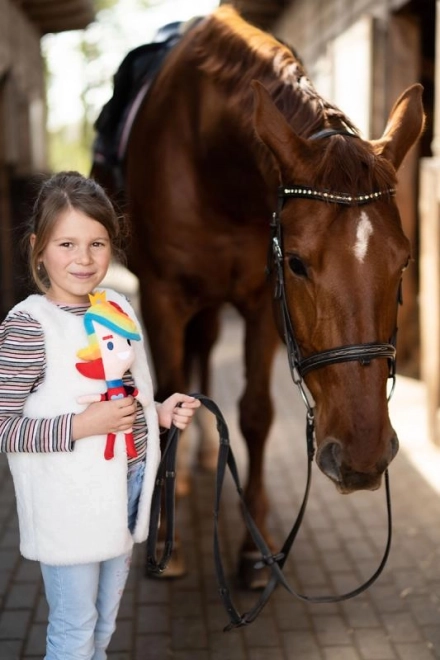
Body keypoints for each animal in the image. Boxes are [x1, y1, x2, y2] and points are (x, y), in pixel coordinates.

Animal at [91, 6, 424, 588]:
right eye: (296, 262)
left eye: (403, 261)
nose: (362, 456)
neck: (210, 158)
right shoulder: (162, 296)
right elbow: (169, 395)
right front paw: (166, 536)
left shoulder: (259, 302)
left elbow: (256, 413)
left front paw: (255, 545)